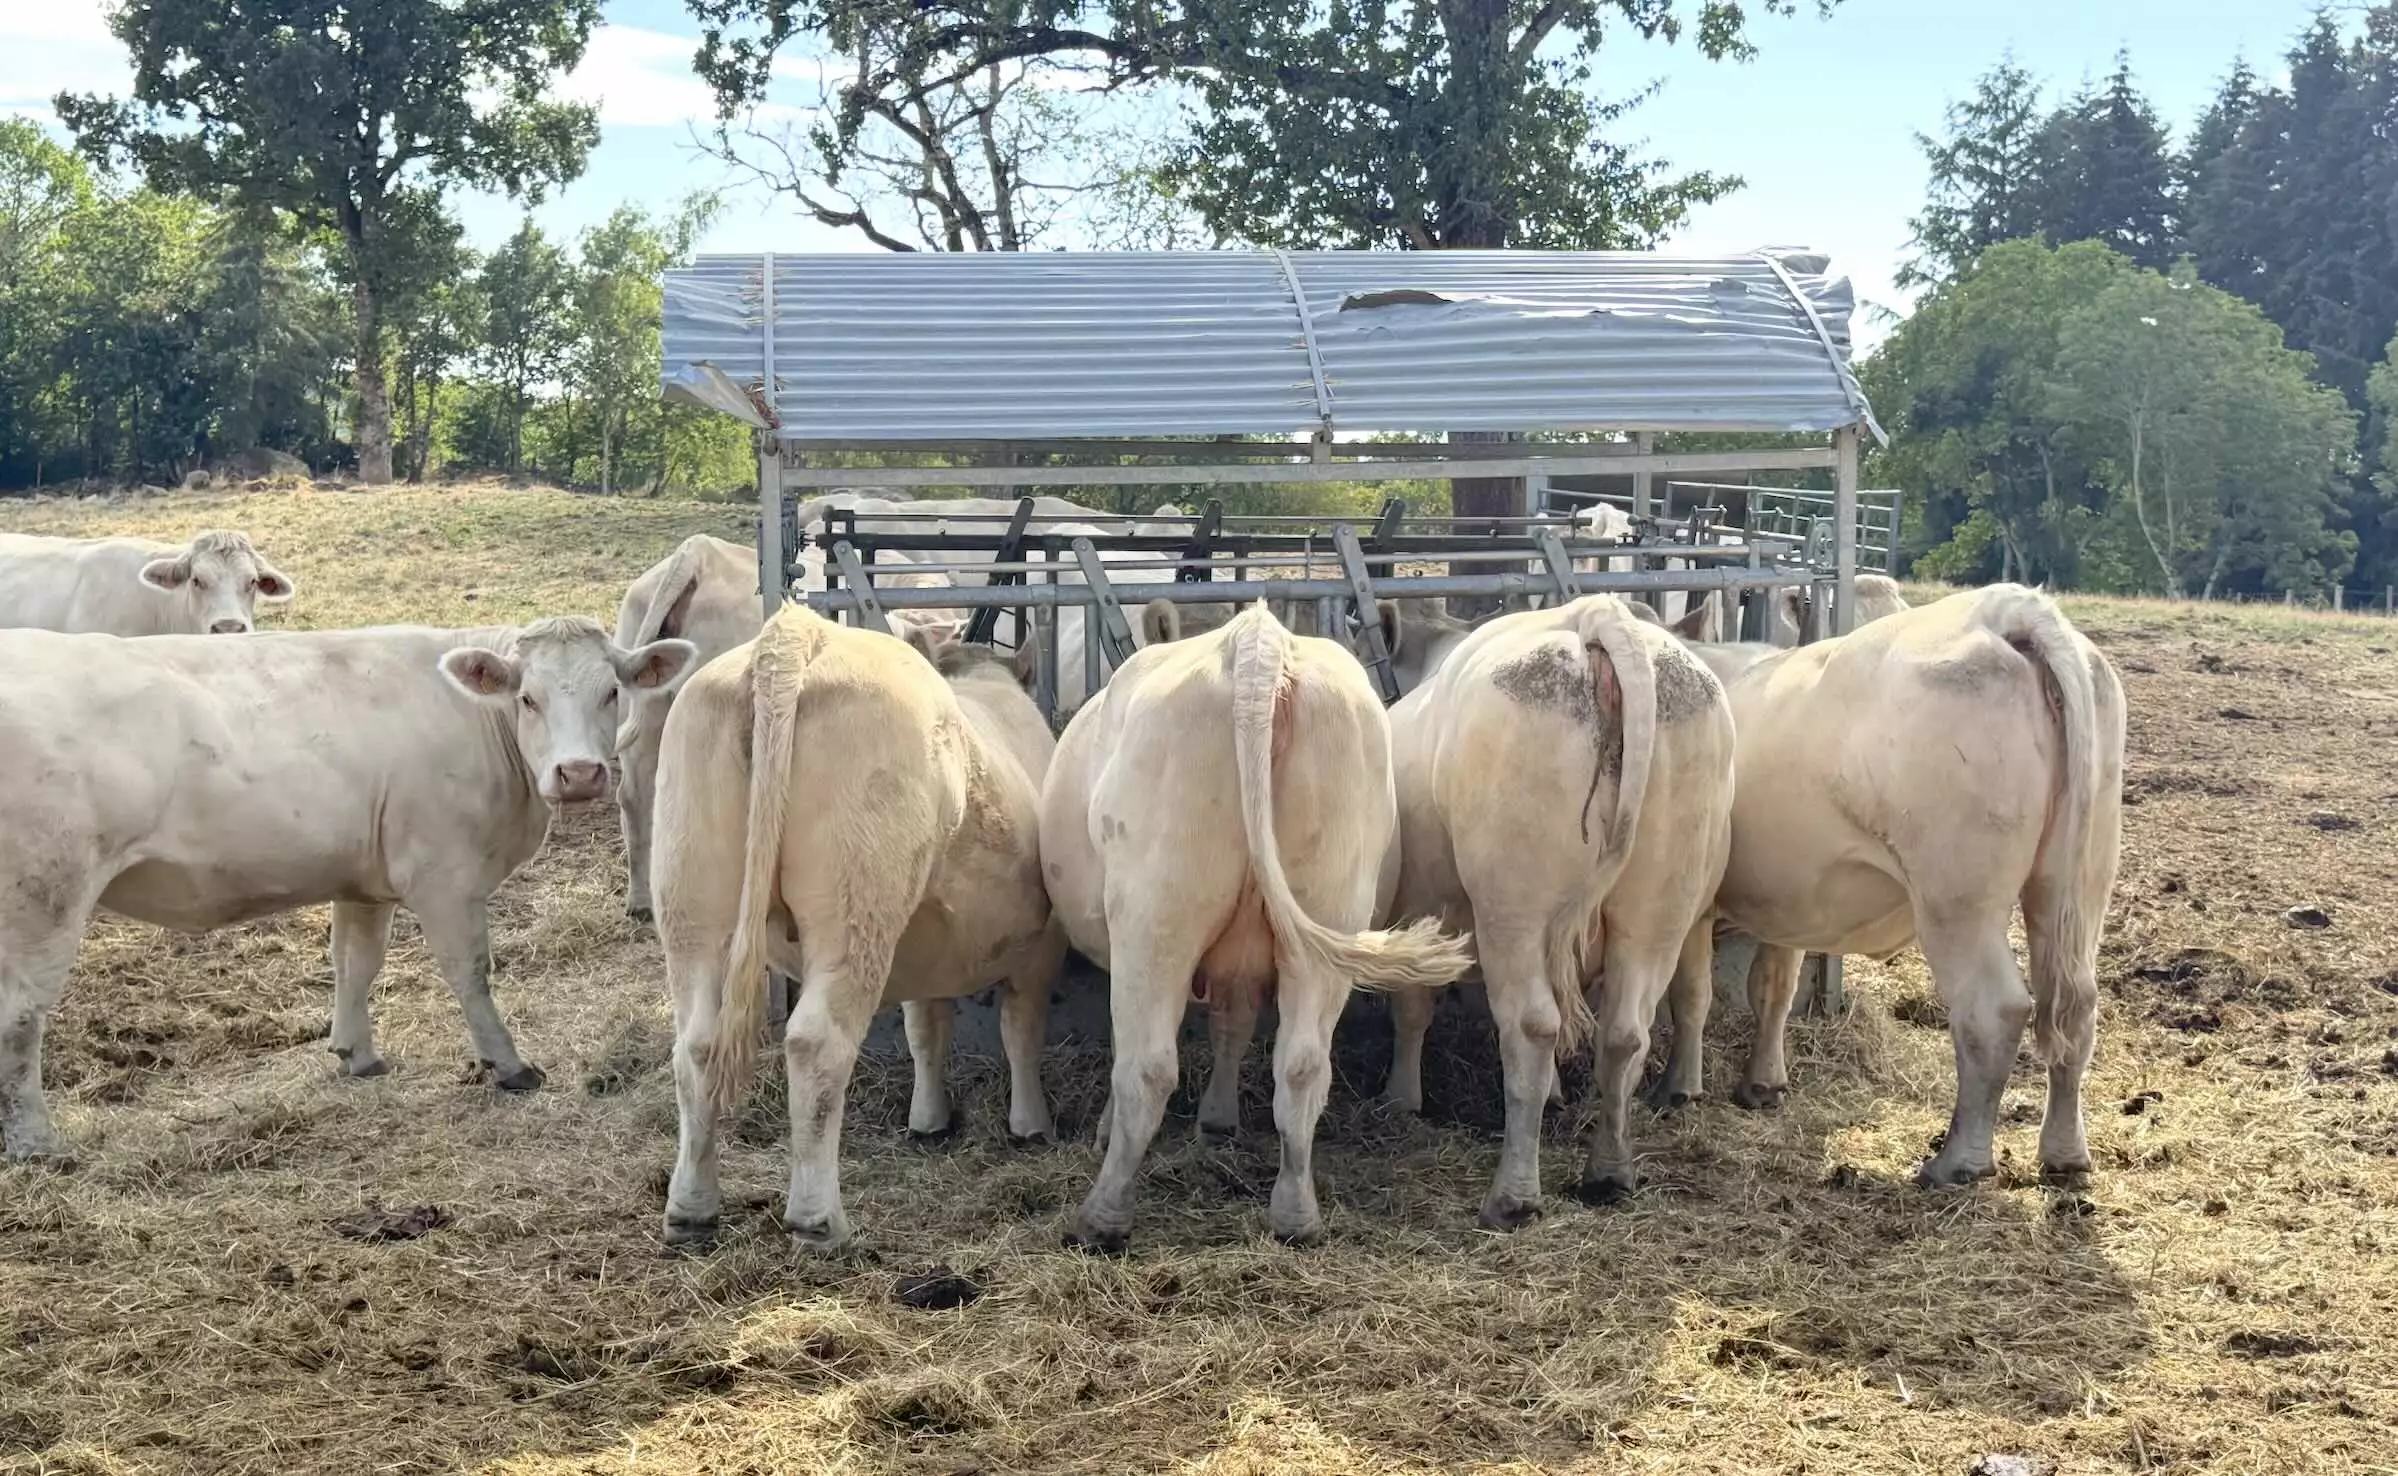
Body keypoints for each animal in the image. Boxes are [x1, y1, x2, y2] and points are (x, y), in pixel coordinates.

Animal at [0, 617, 697, 1163]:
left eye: (612, 692)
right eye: (527, 698)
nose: (579, 774)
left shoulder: (365, 880)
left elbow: (355, 963)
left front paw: (357, 1054)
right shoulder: (445, 877)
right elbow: (471, 972)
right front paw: (510, 1067)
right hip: (46, 895)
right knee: (21, 1016)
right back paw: (36, 1142)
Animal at [655, 607, 1065, 1250]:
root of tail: (797, 636)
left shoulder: (926, 946)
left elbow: (926, 1028)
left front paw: (929, 1120)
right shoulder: (1042, 943)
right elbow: (1020, 1030)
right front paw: (1031, 1125)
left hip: (691, 889)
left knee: (696, 1044)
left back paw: (691, 1209)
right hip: (857, 899)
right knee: (817, 1042)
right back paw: (818, 1220)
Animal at [1040, 601, 1473, 1250]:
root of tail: (1259, 639)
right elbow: (1233, 1024)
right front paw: (1218, 1123)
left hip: (1157, 913)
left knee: (1146, 1067)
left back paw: (1101, 1217)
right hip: (1329, 911)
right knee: (1302, 1066)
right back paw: (1296, 1216)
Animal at [1374, 596, 1736, 1220]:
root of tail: (1598, 616)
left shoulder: (1422, 901)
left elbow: (1413, 1006)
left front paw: (1402, 1099)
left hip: (1513, 906)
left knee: (1532, 1025)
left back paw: (1513, 1197)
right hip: (1660, 907)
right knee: (1626, 1031)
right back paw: (1609, 1174)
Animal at [1650, 583, 2124, 1188]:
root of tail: (2005, 610)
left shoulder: (1696, 901)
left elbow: (1691, 994)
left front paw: (1678, 1088)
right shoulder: (1791, 897)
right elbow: (1773, 989)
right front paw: (1763, 1082)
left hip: (1955, 898)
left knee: (1993, 1010)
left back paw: (1957, 1161)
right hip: (2076, 881)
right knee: (2076, 1007)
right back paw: (2063, 1154)